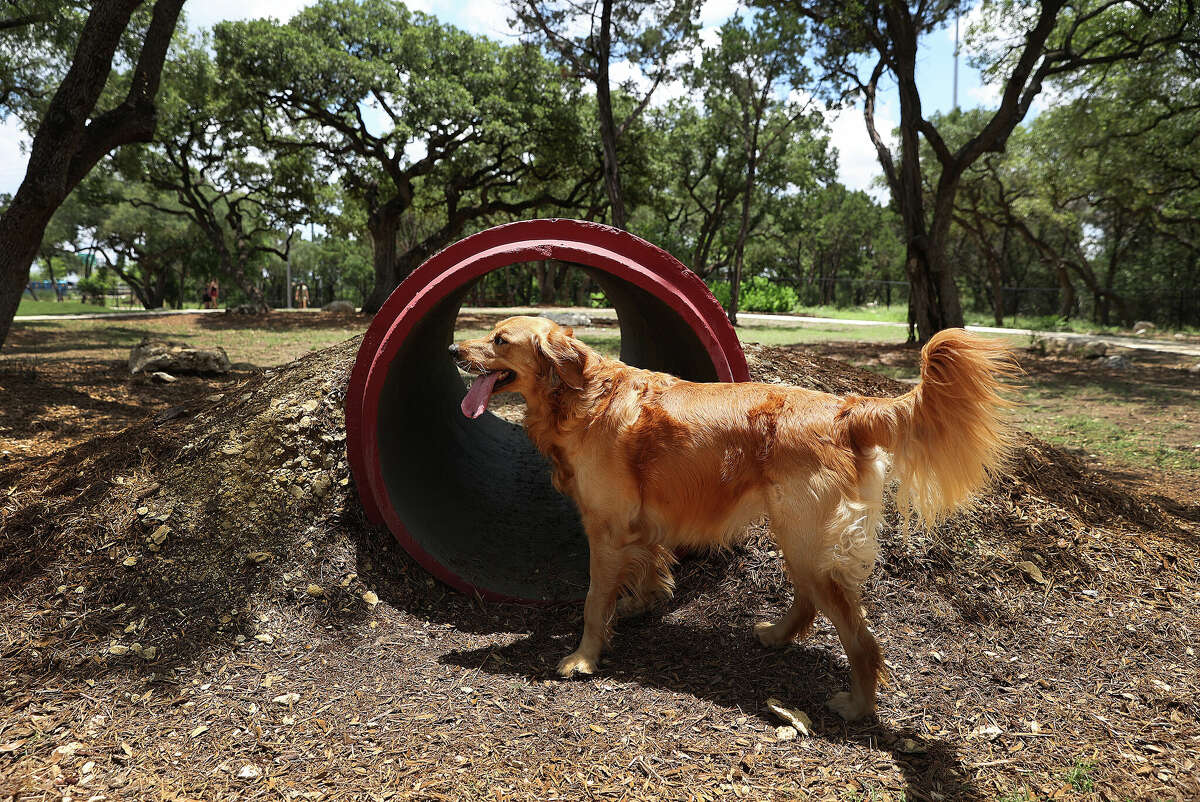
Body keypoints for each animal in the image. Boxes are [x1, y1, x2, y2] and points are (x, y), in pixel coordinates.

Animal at [451, 314, 1012, 720]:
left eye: (499, 339)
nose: (454, 351)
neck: (581, 394)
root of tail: (846, 409)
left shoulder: (605, 529)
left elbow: (592, 600)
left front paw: (584, 658)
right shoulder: (640, 525)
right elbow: (649, 567)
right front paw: (641, 604)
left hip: (806, 540)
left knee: (861, 638)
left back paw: (857, 705)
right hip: (797, 538)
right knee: (810, 602)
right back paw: (778, 636)